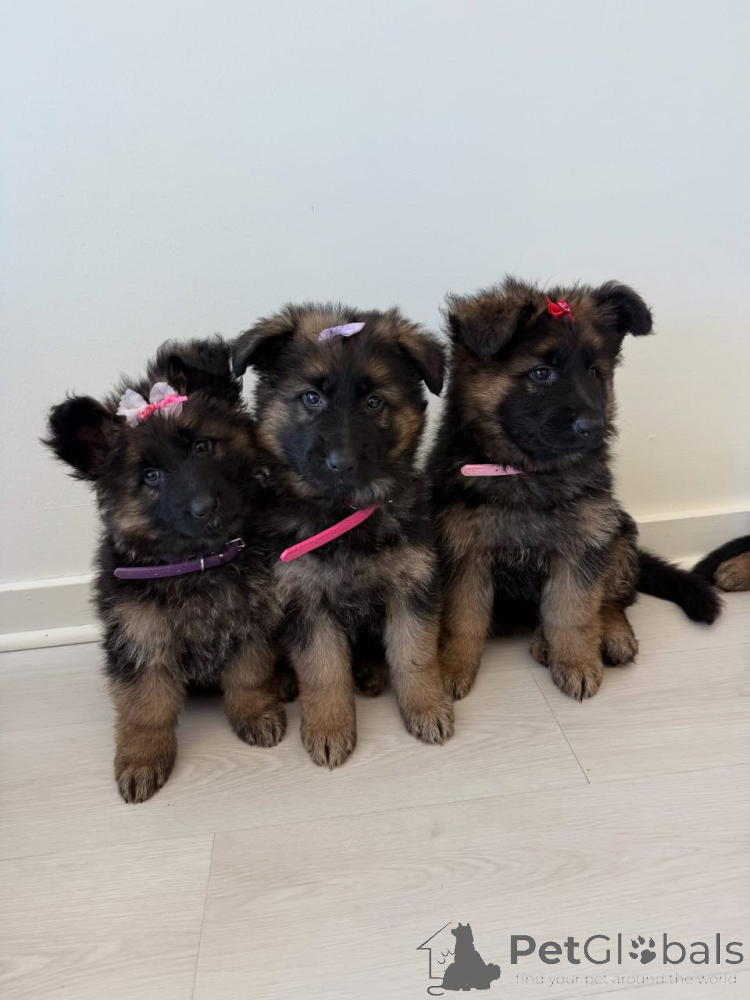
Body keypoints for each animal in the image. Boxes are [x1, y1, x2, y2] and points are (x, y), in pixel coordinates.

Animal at [44, 338, 284, 803]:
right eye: (151, 476)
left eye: (202, 447)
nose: (205, 508)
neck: (197, 563)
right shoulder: (140, 640)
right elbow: (145, 709)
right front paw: (142, 758)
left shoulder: (251, 622)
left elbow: (249, 675)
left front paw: (256, 713)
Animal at [232, 304, 454, 768]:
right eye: (311, 398)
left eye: (374, 402)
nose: (341, 463)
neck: (345, 514)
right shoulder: (304, 600)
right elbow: (323, 670)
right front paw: (329, 727)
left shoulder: (414, 586)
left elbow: (415, 654)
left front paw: (427, 706)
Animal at [428, 278, 722, 701]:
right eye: (541, 373)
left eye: (594, 372)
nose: (594, 428)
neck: (527, 472)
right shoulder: (465, 552)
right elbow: (463, 617)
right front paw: (452, 667)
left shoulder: (582, 546)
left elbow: (573, 610)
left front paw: (576, 661)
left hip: (617, 533)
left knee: (613, 600)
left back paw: (606, 636)